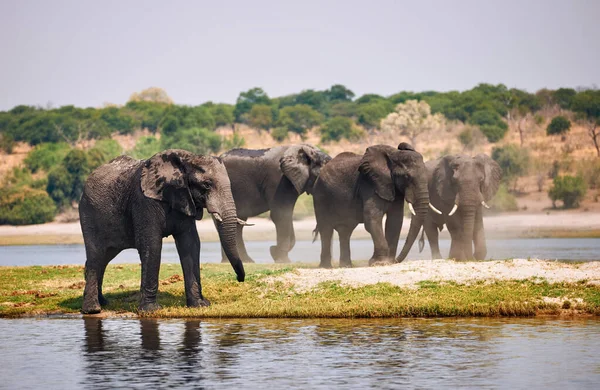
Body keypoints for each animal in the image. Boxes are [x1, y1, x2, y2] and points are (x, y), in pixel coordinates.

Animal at [79, 149, 244, 314]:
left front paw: (199, 305)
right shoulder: (144, 201)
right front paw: (151, 310)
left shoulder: (185, 200)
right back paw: (92, 309)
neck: (186, 159)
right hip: (89, 213)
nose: (239, 279)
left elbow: (190, 244)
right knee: (96, 255)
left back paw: (103, 302)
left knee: (104, 257)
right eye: (207, 185)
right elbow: (151, 244)